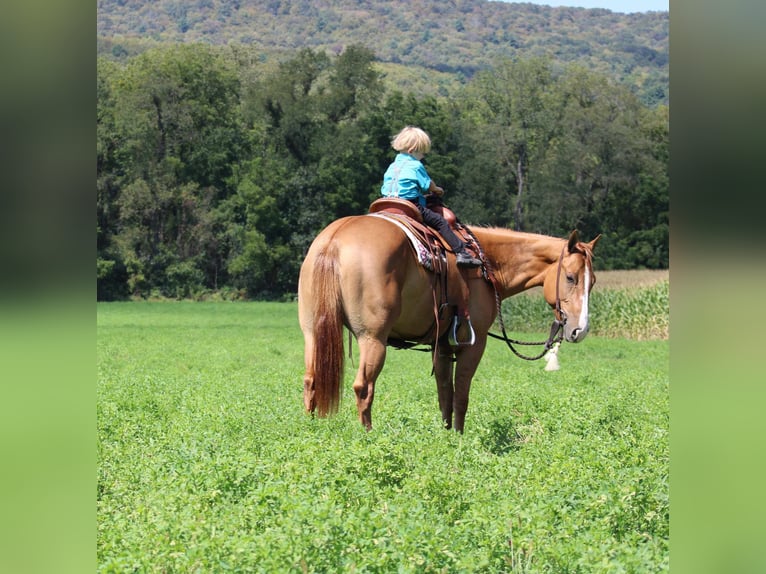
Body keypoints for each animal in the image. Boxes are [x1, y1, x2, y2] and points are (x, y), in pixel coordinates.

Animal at [296, 210, 604, 432]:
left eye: (593, 282)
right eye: (570, 277)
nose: (580, 330)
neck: (487, 263)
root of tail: (335, 240)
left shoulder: (442, 345)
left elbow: (445, 393)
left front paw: (446, 435)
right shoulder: (474, 343)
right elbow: (462, 394)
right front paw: (459, 436)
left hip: (312, 332)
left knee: (311, 380)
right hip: (372, 339)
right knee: (363, 387)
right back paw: (367, 435)